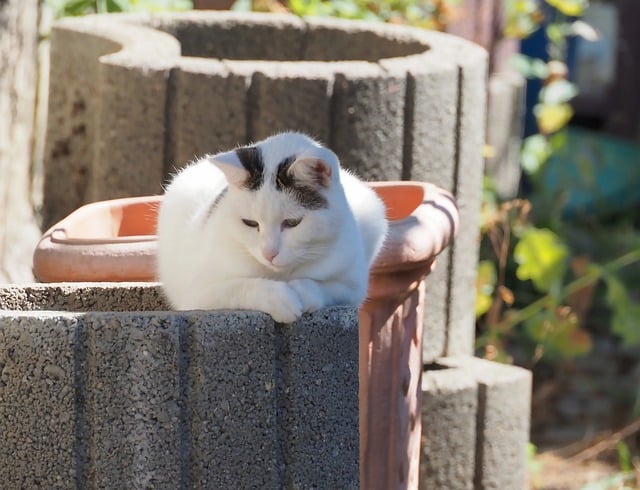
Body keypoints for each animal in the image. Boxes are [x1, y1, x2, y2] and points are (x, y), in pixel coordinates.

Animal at [158, 131, 388, 322]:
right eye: (250, 223)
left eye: (292, 223)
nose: (269, 253)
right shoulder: (198, 293)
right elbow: (242, 285)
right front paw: (280, 298)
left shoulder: (353, 286)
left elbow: (322, 285)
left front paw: (302, 292)